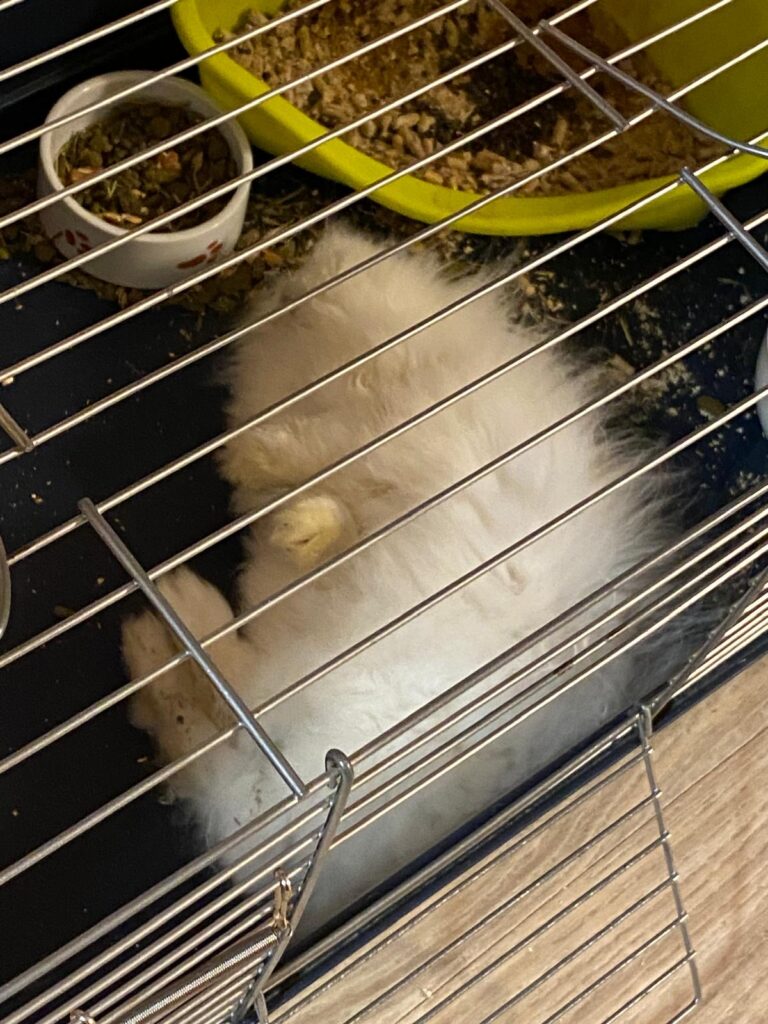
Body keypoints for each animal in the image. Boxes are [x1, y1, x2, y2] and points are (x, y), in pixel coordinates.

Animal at [122, 223, 678, 939]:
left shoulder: (388, 439)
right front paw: (266, 493)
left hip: (320, 678)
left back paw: (166, 612)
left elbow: (317, 481)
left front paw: (261, 479)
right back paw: (160, 627)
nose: (311, 262)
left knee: (229, 722)